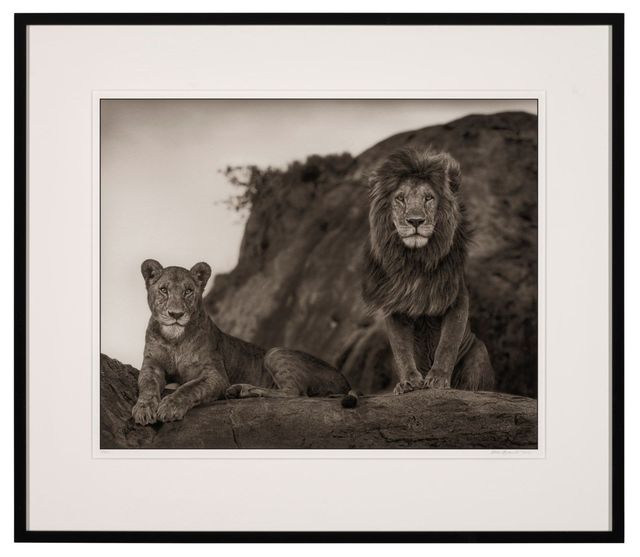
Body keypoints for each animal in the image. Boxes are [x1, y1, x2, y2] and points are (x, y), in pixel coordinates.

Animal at [132, 259, 357, 425]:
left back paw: (244, 390)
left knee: (295, 393)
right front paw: (144, 408)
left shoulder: (216, 375)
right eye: (163, 290)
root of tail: (344, 379)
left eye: (188, 291)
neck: (175, 339)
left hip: (275, 352)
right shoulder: (152, 364)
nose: (176, 314)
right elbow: (147, 385)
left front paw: (170, 406)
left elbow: (189, 388)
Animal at [362, 147, 494, 395]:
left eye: (428, 198)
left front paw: (438, 379)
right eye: (400, 198)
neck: (416, 261)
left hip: (479, 352)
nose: (415, 221)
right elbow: (401, 349)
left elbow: (448, 343)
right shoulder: (395, 307)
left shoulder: (456, 298)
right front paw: (409, 382)